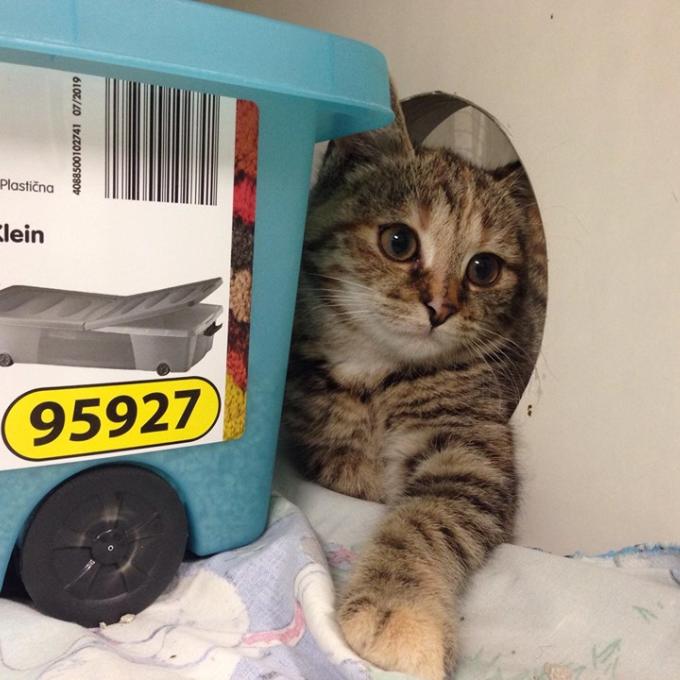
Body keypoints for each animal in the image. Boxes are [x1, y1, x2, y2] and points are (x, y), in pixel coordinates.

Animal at [283, 86, 547, 680]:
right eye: (399, 241)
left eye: (484, 269)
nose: (441, 309)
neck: (375, 375)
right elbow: (346, 467)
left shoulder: (472, 451)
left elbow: (422, 518)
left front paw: (398, 610)